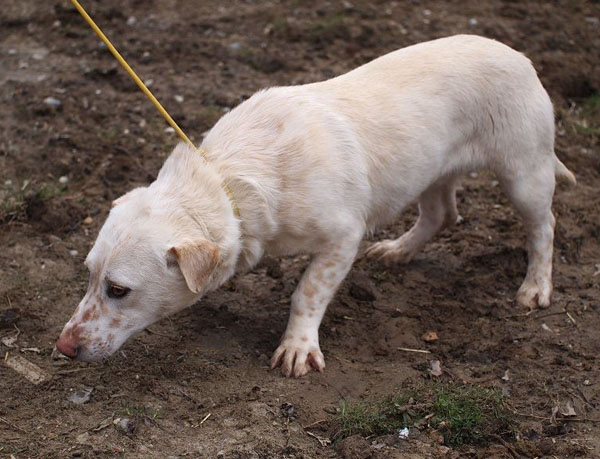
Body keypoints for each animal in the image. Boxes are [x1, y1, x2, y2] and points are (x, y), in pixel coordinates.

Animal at [57, 35, 576, 378]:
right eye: (88, 275)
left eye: (119, 290)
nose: (62, 347)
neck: (229, 182)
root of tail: (521, 57)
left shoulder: (343, 238)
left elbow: (306, 292)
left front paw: (297, 348)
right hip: (430, 169)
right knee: (442, 214)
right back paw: (398, 252)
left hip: (524, 172)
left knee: (545, 225)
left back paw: (535, 287)